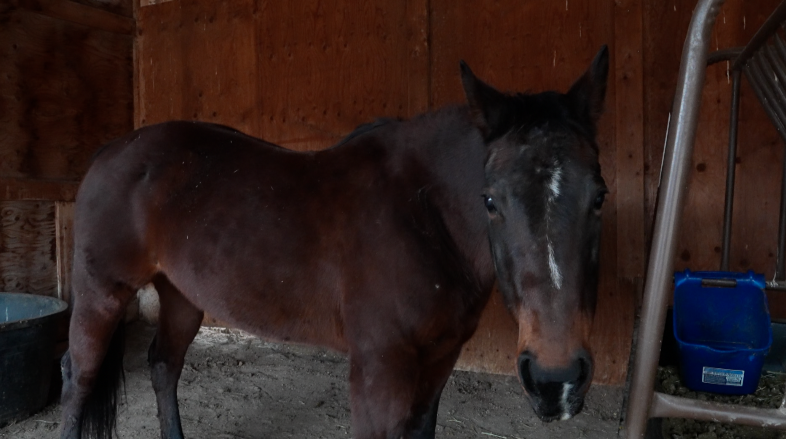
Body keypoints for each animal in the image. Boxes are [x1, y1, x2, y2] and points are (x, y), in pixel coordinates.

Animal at [59, 45, 609, 439]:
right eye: (491, 200)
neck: (421, 214)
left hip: (182, 297)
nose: (555, 381)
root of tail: (111, 150)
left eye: (599, 196)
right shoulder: (379, 373)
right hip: (101, 295)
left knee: (163, 366)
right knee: (78, 377)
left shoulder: (439, 362)